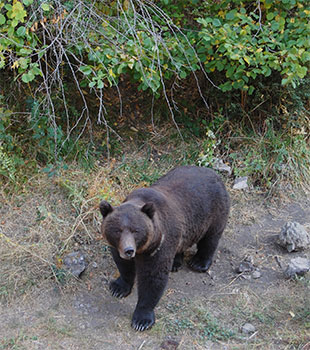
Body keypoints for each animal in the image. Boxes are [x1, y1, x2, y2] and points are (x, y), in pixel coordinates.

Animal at [99, 166, 230, 330]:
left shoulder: (158, 245)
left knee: (211, 237)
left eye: (136, 230)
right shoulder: (118, 247)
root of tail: (214, 173)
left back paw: (198, 263)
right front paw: (118, 288)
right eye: (118, 230)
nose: (129, 250)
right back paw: (176, 262)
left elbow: (153, 277)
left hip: (213, 211)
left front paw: (142, 320)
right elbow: (124, 266)